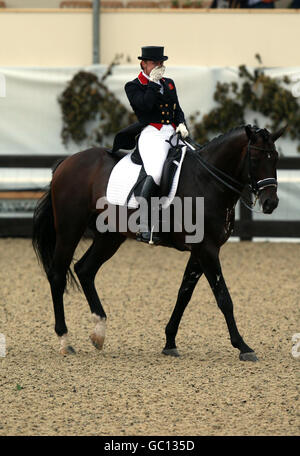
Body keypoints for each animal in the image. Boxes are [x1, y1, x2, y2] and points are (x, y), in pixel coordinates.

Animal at [31, 124, 284, 360]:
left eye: (275, 158)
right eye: (255, 158)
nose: (270, 203)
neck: (207, 181)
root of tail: (67, 161)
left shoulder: (200, 251)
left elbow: (184, 295)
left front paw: (170, 342)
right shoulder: (207, 249)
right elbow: (223, 298)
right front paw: (243, 346)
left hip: (110, 236)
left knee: (85, 270)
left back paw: (99, 332)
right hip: (69, 229)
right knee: (57, 275)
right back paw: (64, 340)